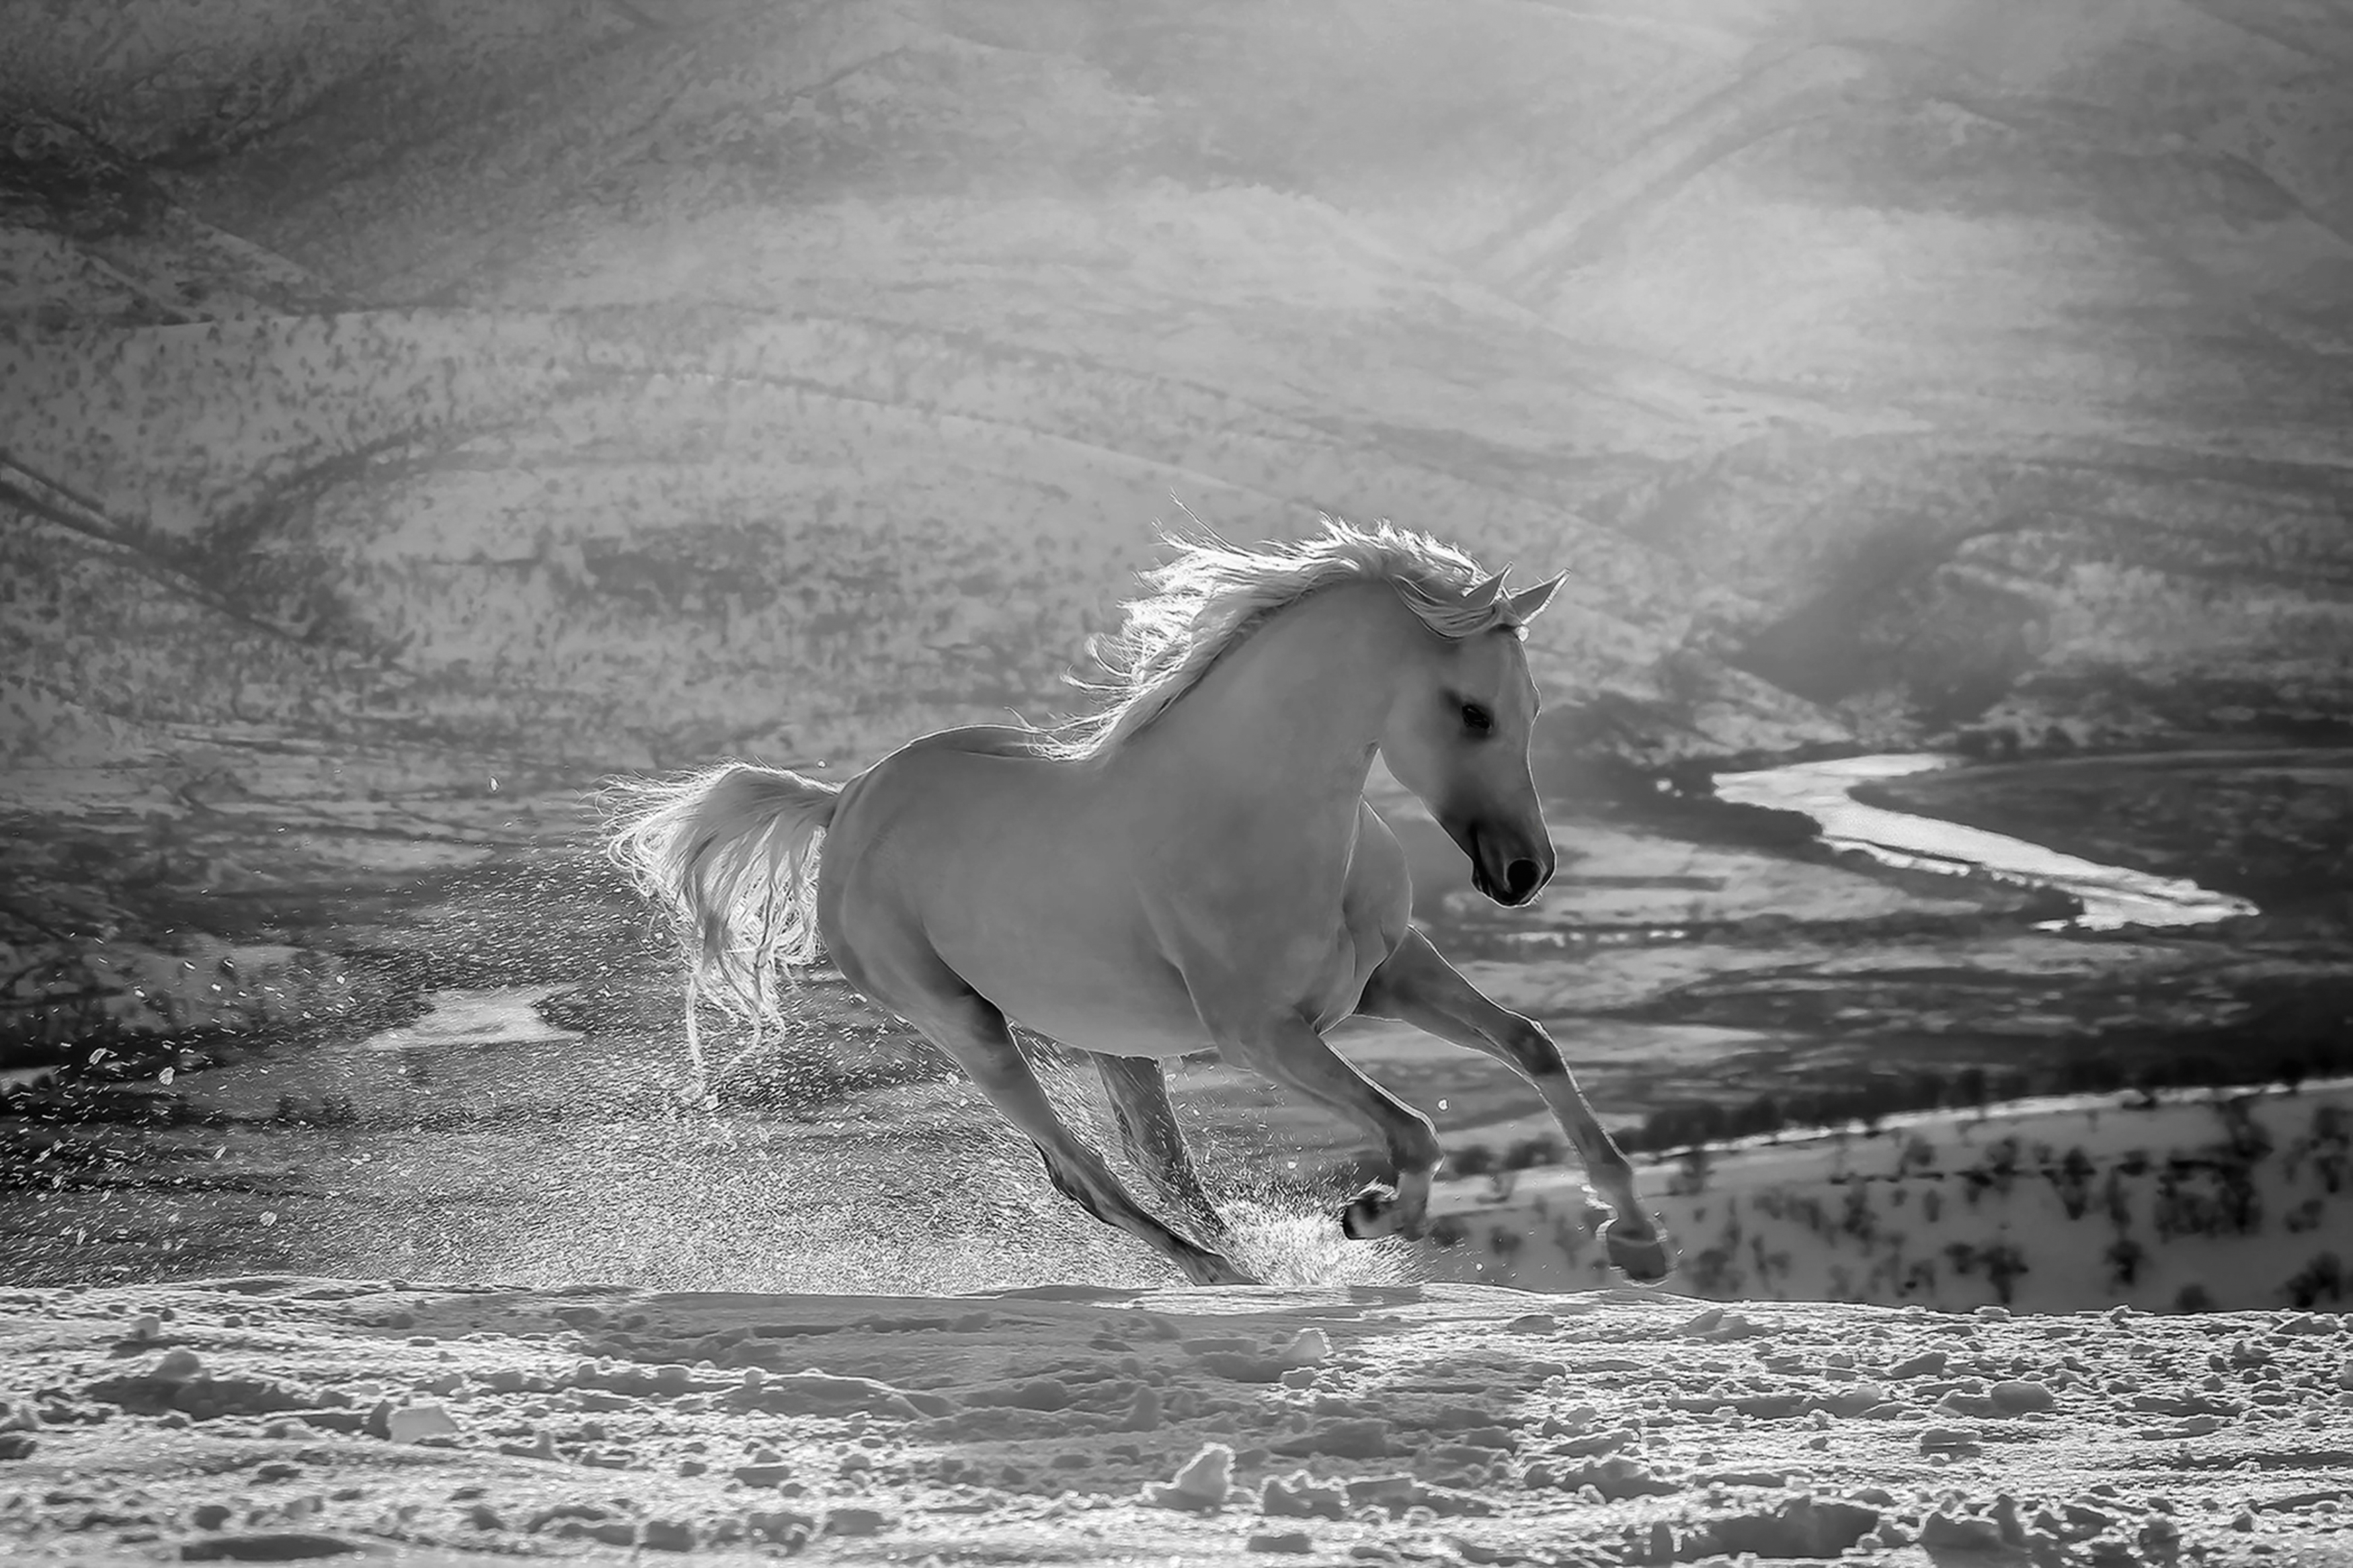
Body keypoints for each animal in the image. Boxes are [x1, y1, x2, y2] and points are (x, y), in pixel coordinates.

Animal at [607, 524, 1675, 1288]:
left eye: (1530, 709)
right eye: (1472, 712)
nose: (1526, 871)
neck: (1256, 813)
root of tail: (843, 804)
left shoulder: (1389, 976)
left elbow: (1534, 1044)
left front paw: (1637, 1236)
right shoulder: (1263, 1035)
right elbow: (1412, 1128)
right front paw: (1370, 1213)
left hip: (1116, 1043)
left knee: (1164, 1168)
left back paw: (1237, 1261)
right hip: (964, 1025)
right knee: (1083, 1174)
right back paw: (1224, 1274)